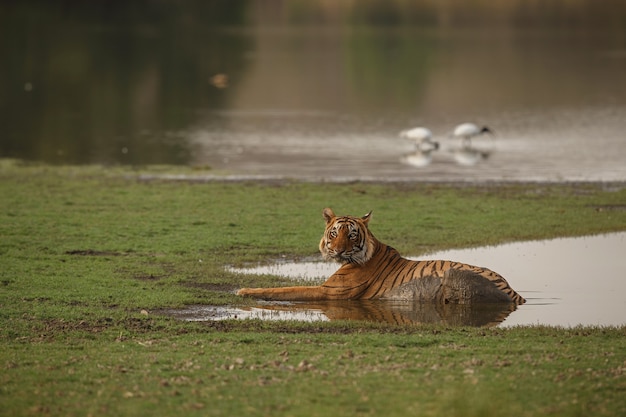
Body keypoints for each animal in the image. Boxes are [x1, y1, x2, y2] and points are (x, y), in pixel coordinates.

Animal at [236, 206, 524, 304]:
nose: (337, 250)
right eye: (334, 233)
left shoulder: (329, 292)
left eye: (351, 235)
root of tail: (512, 290)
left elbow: (285, 289)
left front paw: (243, 291)